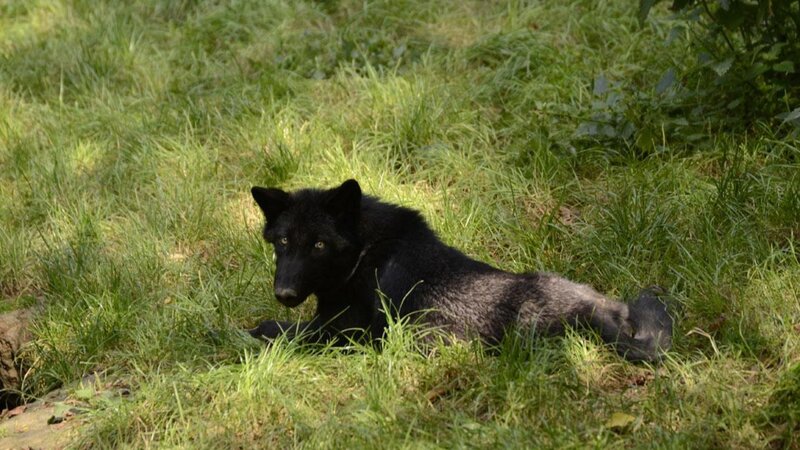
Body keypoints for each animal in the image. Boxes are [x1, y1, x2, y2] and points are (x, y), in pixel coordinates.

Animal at [248, 179, 673, 362]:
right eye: (282, 242)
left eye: (319, 245)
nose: (284, 293)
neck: (366, 254)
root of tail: (592, 315)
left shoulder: (345, 331)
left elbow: (272, 330)